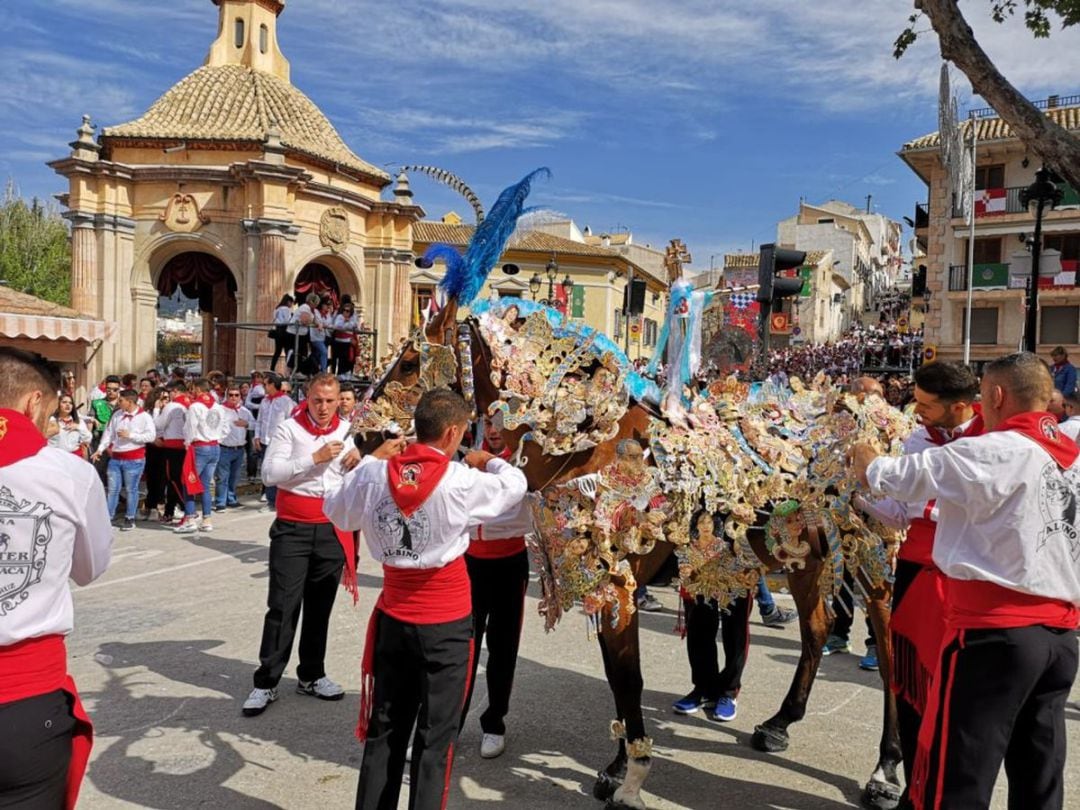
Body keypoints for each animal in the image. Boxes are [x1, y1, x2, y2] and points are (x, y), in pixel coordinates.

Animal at [356, 168, 911, 807]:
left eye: (405, 365)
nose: (360, 436)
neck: (591, 442)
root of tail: (875, 415)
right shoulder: (605, 582)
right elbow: (619, 681)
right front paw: (620, 765)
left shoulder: (618, 582)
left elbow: (629, 677)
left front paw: (632, 775)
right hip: (802, 554)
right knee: (818, 628)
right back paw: (779, 723)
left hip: (870, 558)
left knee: (889, 648)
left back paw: (886, 768)